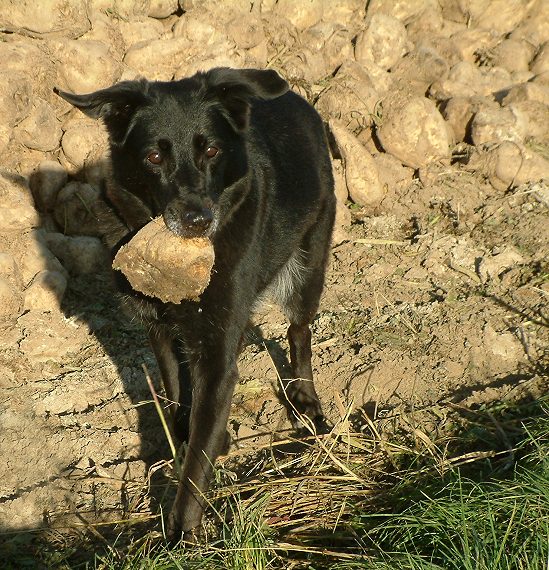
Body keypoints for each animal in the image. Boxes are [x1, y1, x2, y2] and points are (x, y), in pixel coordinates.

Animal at [56, 69, 338, 540]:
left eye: (211, 150)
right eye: (153, 156)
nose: (198, 220)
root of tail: (298, 101)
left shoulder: (219, 353)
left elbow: (198, 454)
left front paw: (182, 532)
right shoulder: (160, 331)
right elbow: (177, 398)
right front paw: (185, 439)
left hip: (309, 263)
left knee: (299, 331)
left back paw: (305, 399)